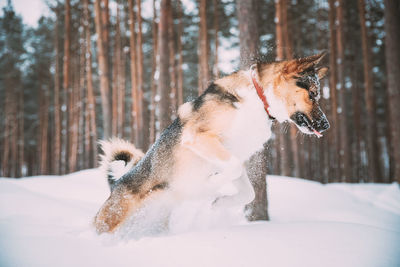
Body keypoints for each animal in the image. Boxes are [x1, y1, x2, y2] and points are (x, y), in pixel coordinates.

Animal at [94, 52, 328, 234]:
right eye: (313, 94)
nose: (326, 125)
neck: (259, 100)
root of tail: (116, 184)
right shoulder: (198, 137)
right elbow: (230, 171)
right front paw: (209, 186)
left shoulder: (235, 154)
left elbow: (247, 192)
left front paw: (219, 203)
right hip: (110, 224)